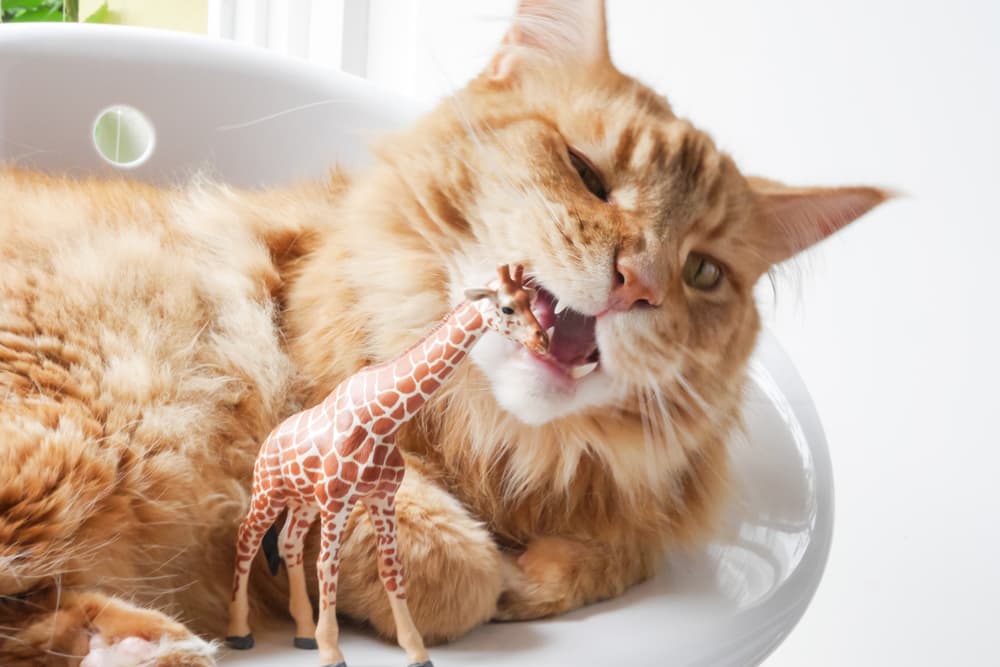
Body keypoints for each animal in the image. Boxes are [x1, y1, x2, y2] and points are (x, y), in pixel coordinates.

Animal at [0, 2, 888, 664]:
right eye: (588, 174)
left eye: (703, 271)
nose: (638, 282)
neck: (503, 447)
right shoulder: (305, 469)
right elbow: (458, 569)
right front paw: (496, 582)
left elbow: (617, 547)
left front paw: (543, 570)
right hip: (83, 435)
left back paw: (136, 645)